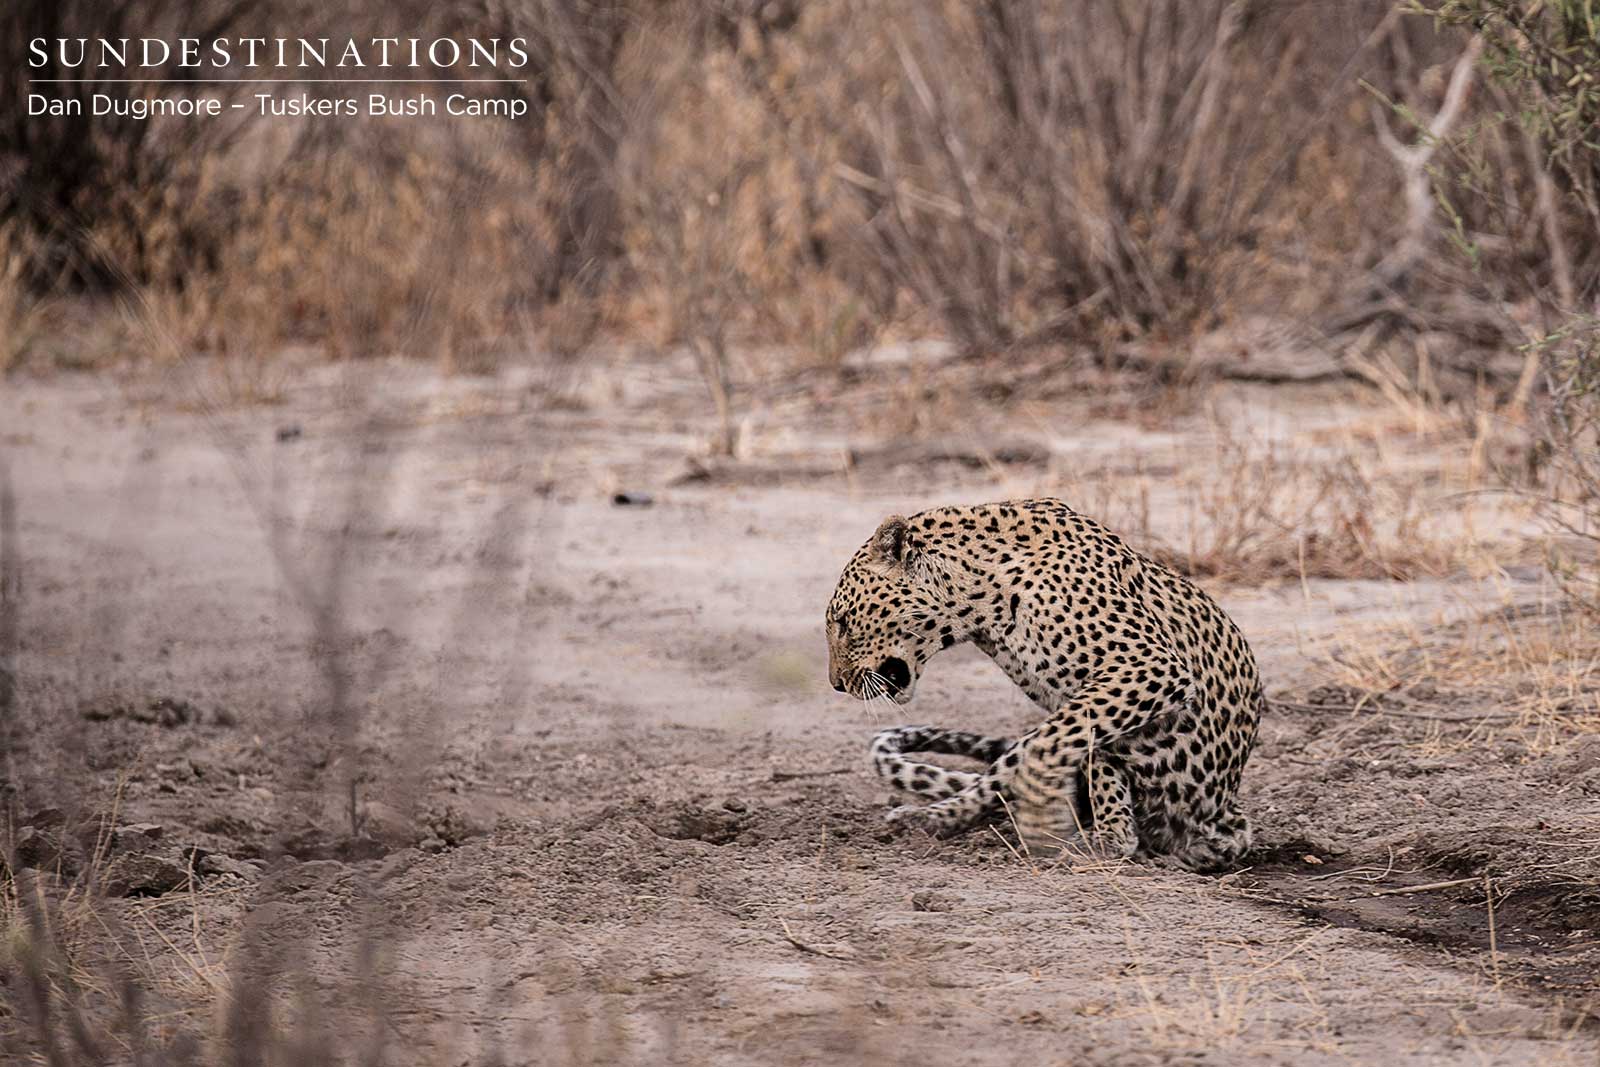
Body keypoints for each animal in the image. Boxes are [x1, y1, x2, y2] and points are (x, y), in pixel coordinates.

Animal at [824, 499, 1263, 871]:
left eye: (843, 622)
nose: (837, 685)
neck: (979, 603)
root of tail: (1226, 808)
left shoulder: (1146, 664)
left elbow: (1050, 745)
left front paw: (1051, 822)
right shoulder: (1077, 698)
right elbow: (1090, 754)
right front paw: (1112, 833)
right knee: (990, 783)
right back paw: (922, 819)